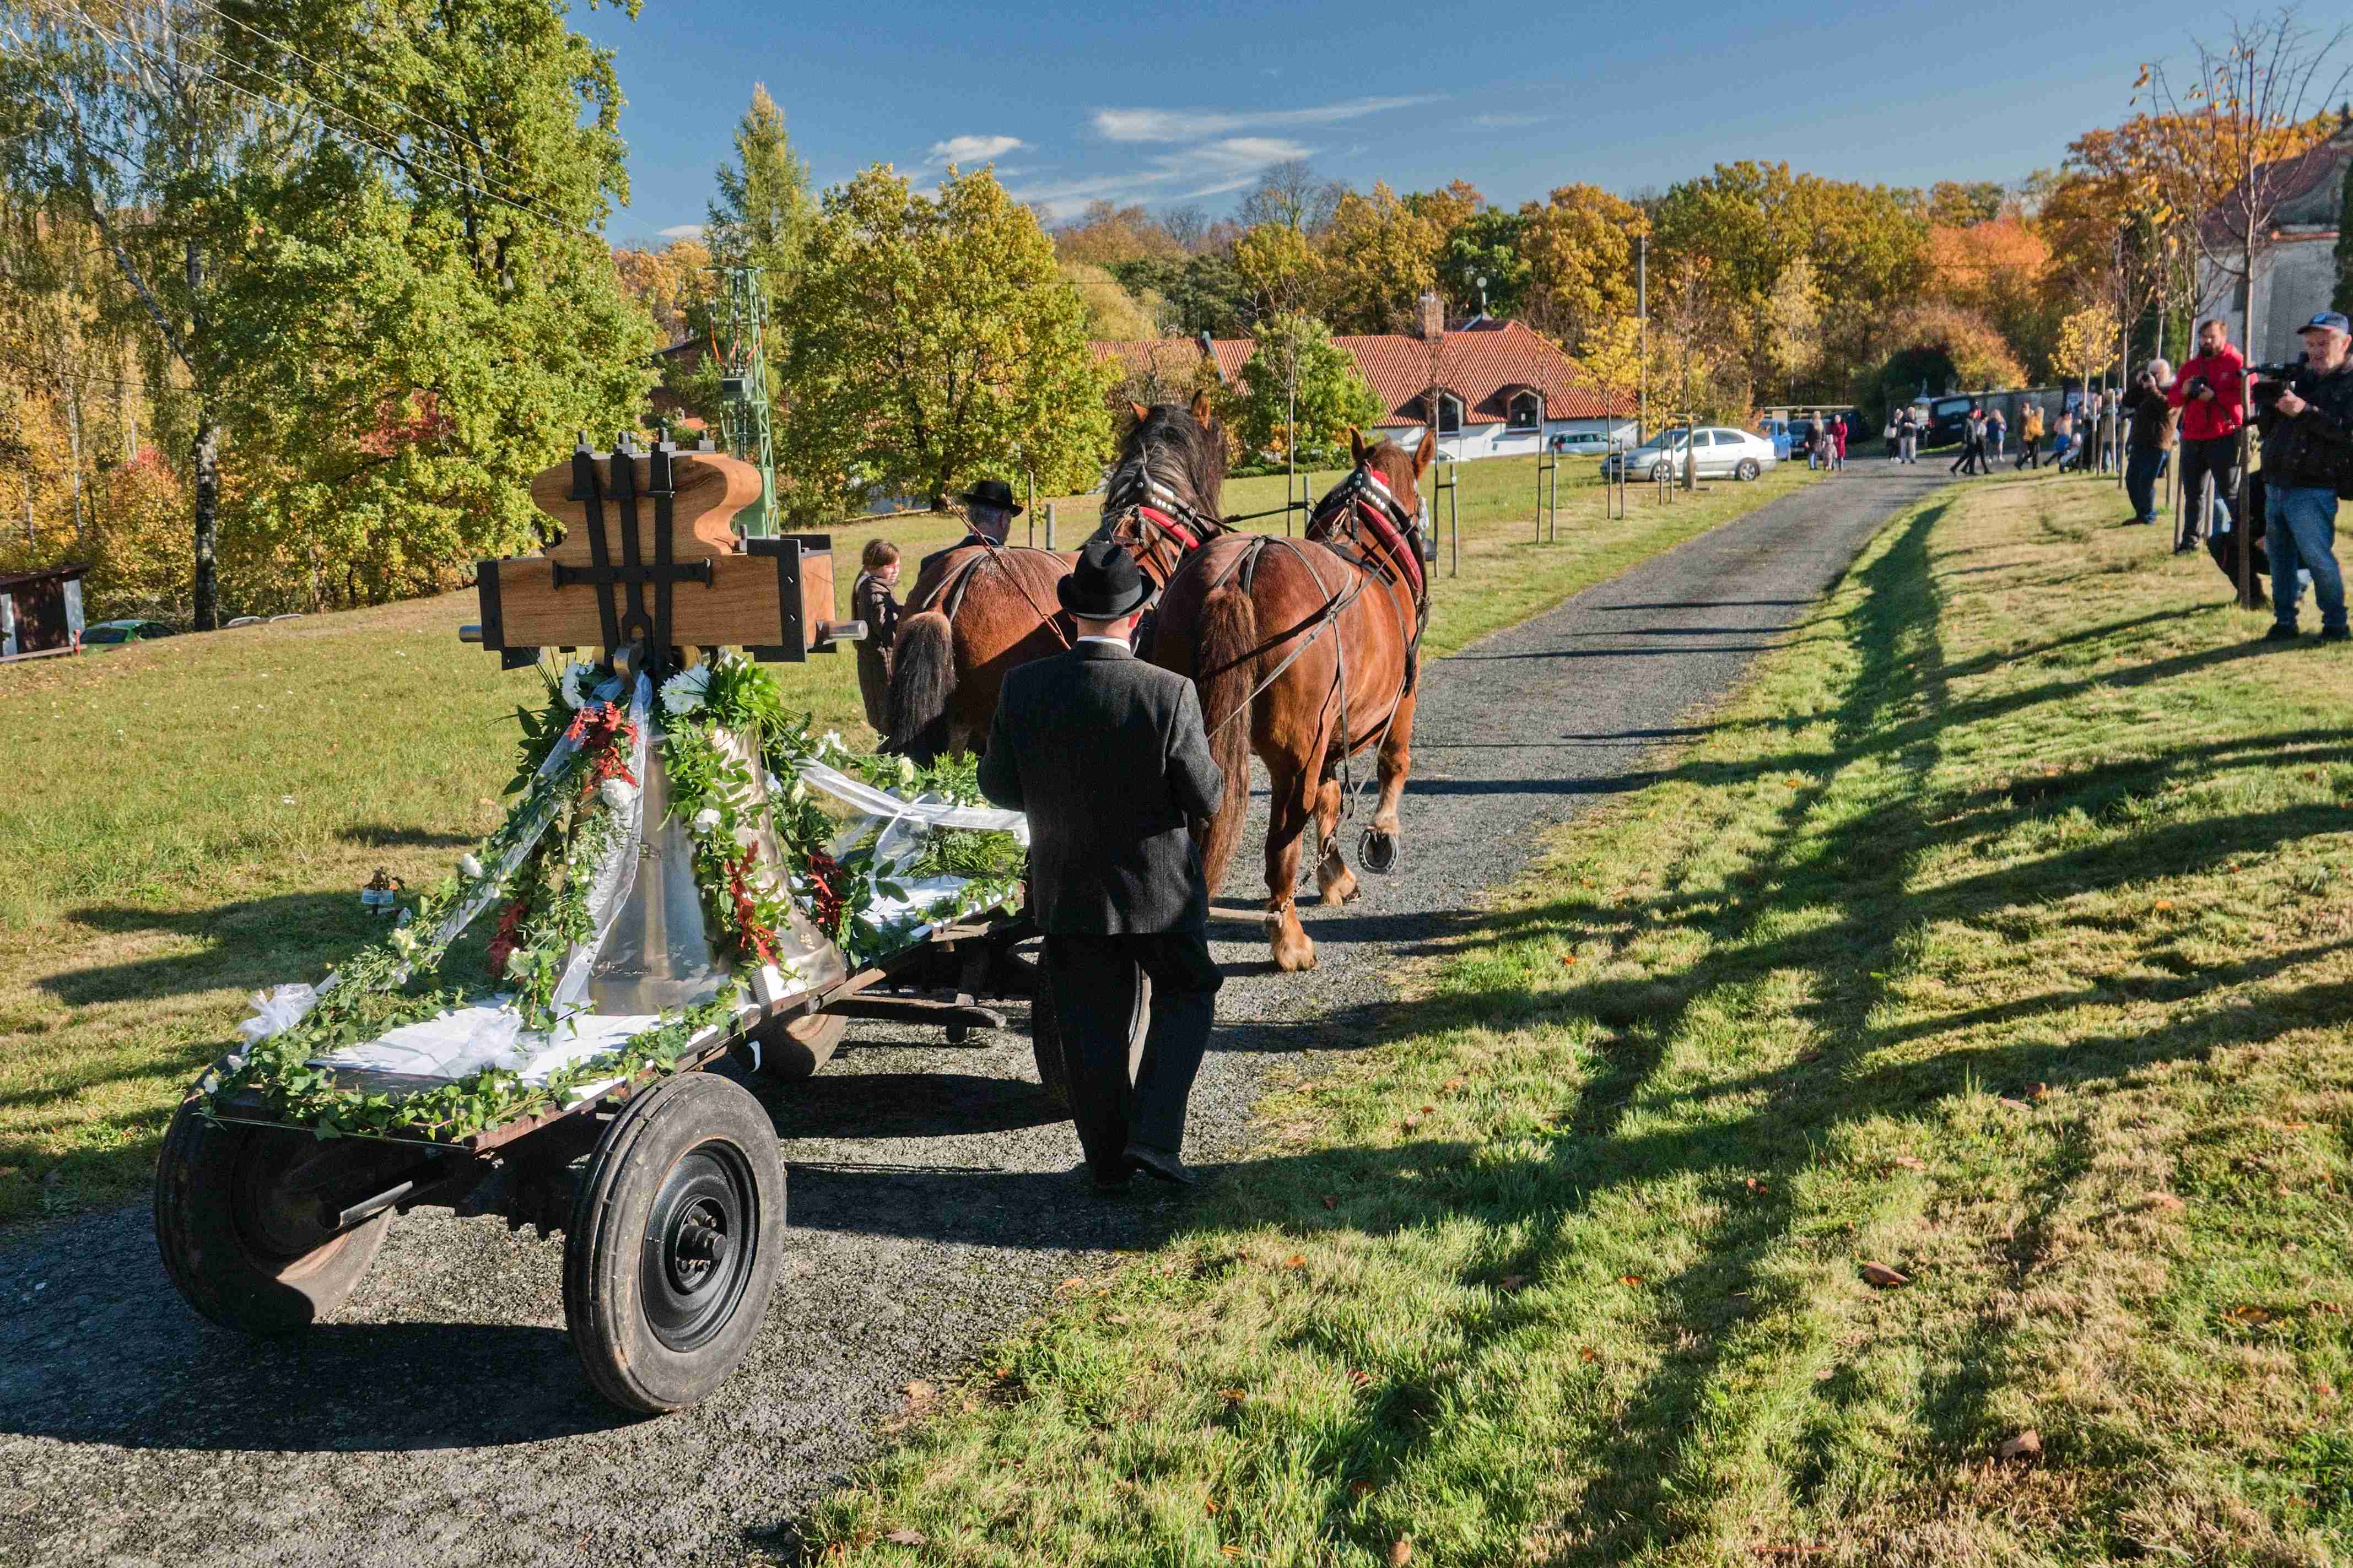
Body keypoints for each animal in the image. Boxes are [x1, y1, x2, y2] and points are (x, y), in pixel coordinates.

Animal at [1143, 430, 1421, 968]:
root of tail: (1239, 573)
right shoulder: (1402, 699)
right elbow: (1393, 765)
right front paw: (1382, 835)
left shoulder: (1329, 737)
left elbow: (1330, 800)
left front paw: (1336, 876)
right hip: (1294, 759)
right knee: (1281, 850)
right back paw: (1288, 938)